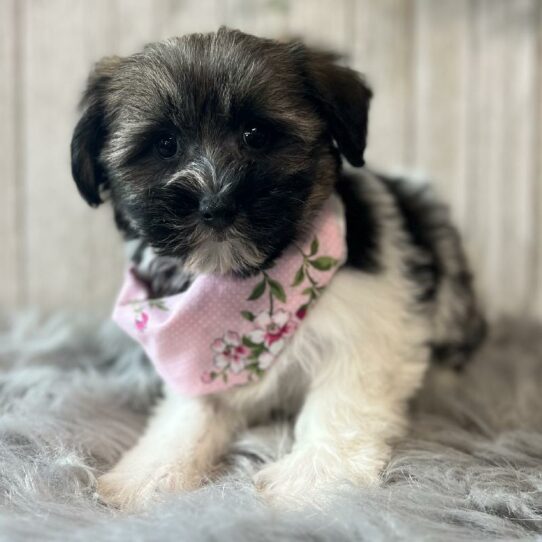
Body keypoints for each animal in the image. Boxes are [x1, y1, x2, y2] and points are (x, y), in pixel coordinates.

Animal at [70, 27, 486, 512]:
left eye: (256, 135)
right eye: (165, 146)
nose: (216, 204)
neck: (249, 283)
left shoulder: (366, 334)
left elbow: (340, 401)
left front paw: (315, 478)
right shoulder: (196, 359)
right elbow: (188, 413)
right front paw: (150, 470)